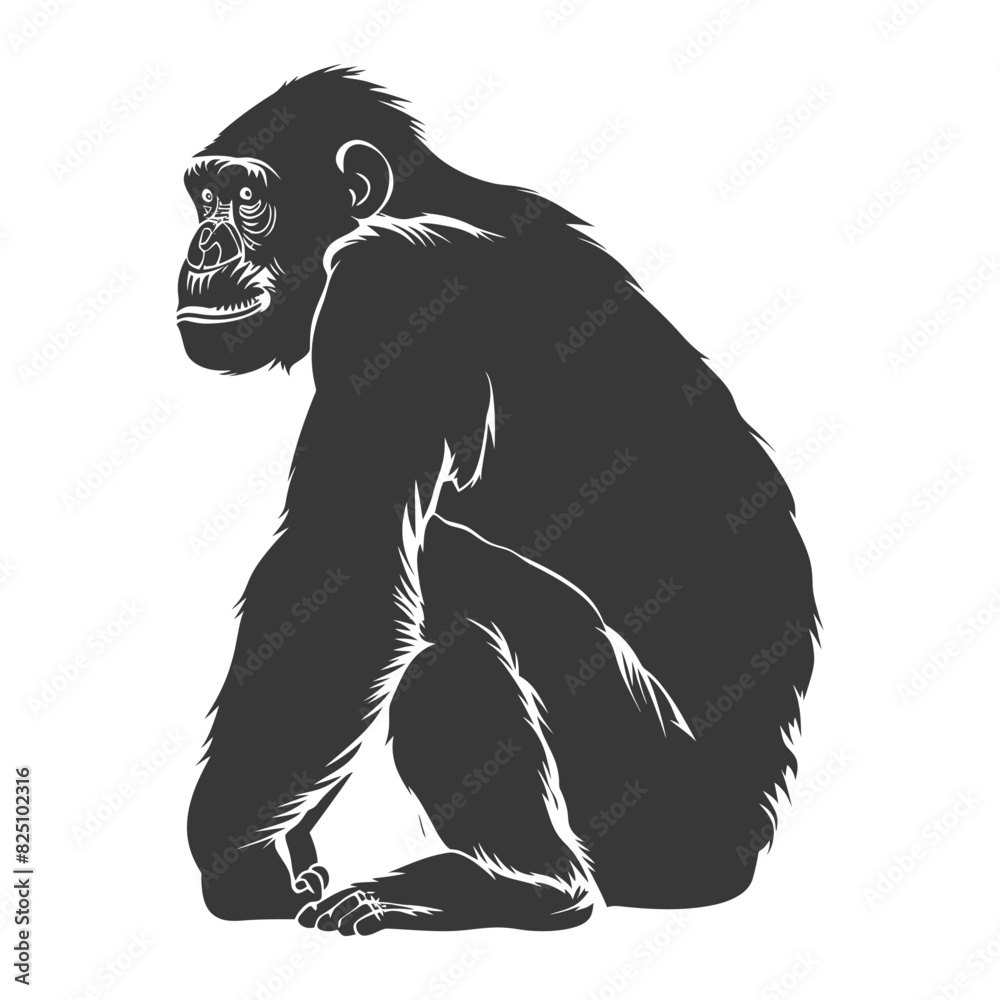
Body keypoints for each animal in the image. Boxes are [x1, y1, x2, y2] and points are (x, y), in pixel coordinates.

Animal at [179, 67, 818, 935]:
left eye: (247, 197)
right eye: (203, 197)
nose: (202, 246)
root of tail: (752, 840)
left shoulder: (393, 292)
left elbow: (343, 575)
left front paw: (239, 858)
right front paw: (288, 844)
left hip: (660, 809)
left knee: (456, 603)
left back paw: (517, 886)